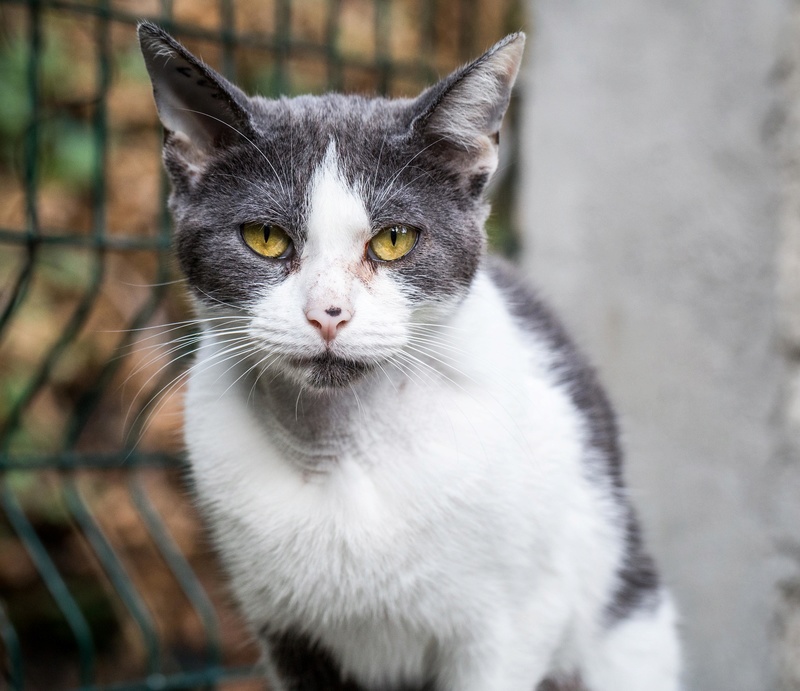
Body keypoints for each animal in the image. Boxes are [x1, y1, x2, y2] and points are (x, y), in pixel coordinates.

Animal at [136, 21, 680, 691]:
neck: (340, 452)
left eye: (394, 240)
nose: (329, 313)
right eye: (265, 238)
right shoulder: (287, 634)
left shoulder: (514, 628)